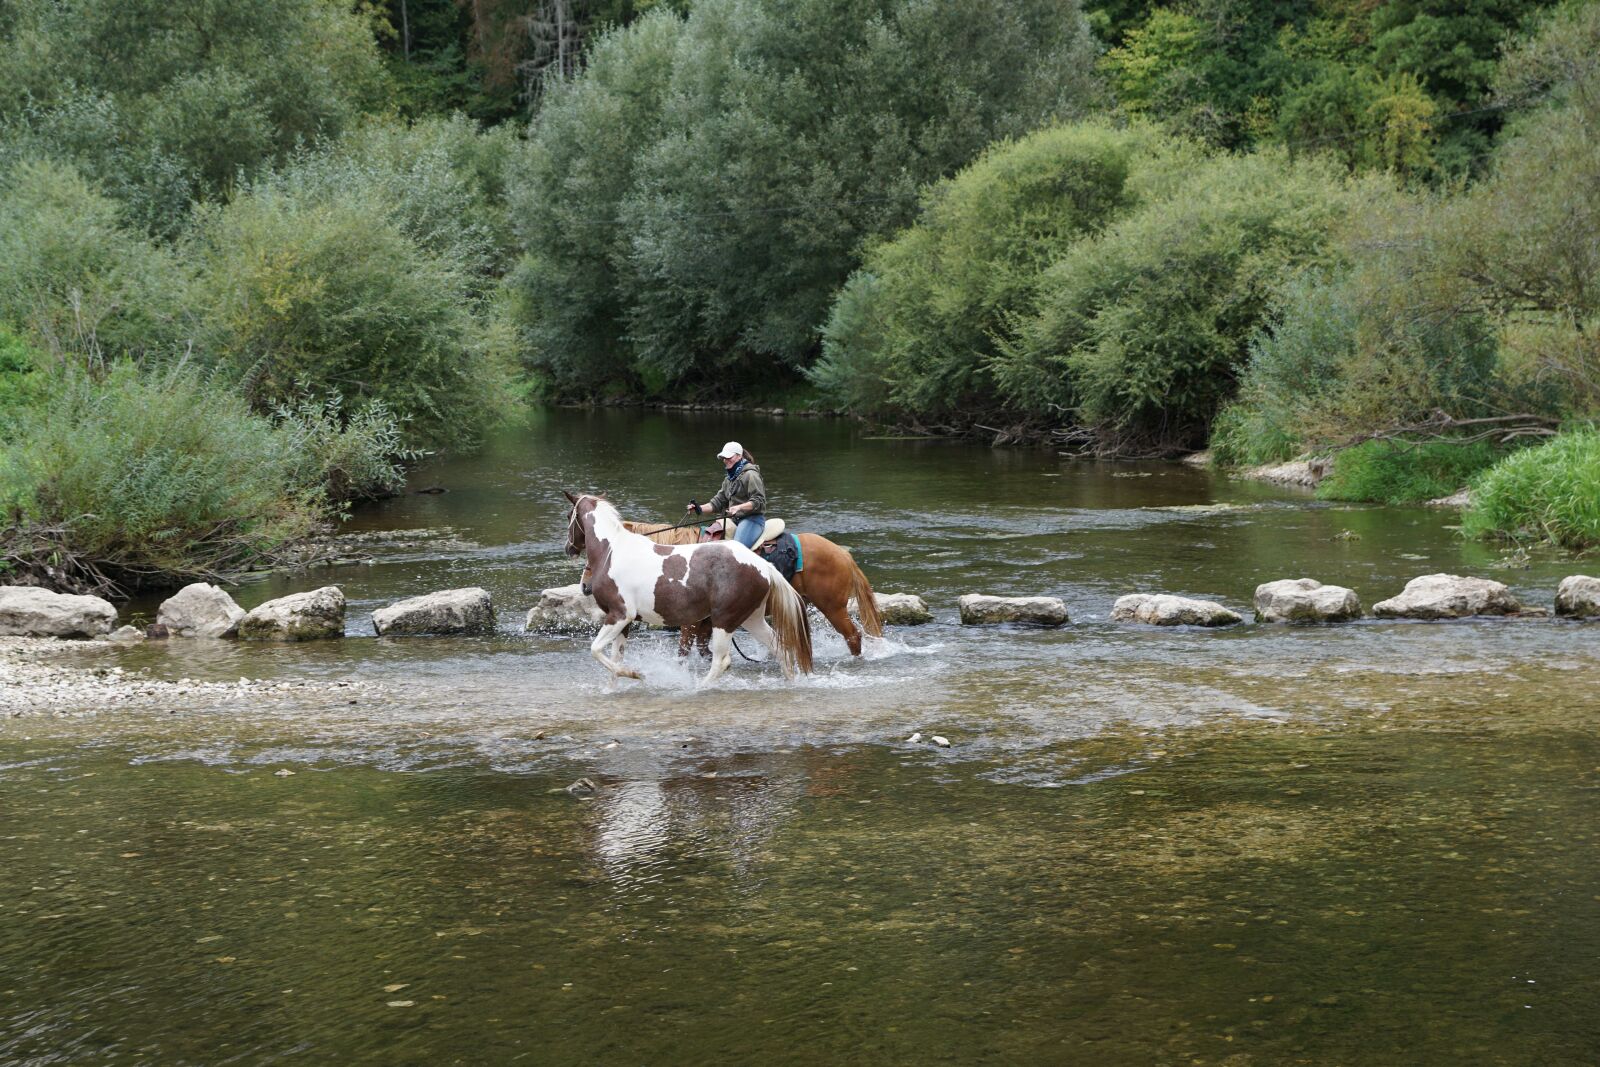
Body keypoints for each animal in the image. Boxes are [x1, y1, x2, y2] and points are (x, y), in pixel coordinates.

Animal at [563, 492, 813, 688]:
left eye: (568, 516)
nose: (568, 548)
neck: (611, 551)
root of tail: (763, 566)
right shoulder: (623, 622)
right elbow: (616, 659)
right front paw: (613, 688)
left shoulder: (619, 615)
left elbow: (596, 650)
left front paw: (637, 674)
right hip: (751, 619)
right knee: (779, 647)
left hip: (724, 620)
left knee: (722, 661)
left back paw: (699, 687)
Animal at [621, 517, 884, 657]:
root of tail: (843, 554)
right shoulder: (706, 621)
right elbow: (703, 648)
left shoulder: (691, 620)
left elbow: (684, 649)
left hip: (833, 607)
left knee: (852, 635)